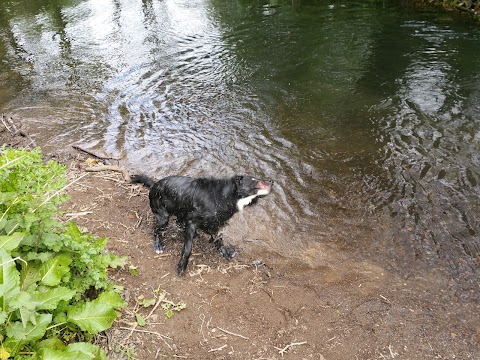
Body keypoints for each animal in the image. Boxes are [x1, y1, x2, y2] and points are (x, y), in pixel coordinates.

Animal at [131, 173, 274, 274]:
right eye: (255, 180)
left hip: (180, 211)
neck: (225, 197)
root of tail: (154, 184)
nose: (272, 180)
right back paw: (158, 245)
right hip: (163, 217)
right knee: (155, 230)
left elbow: (219, 240)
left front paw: (226, 252)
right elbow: (188, 248)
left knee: (178, 222)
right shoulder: (192, 222)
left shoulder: (215, 224)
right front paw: (182, 266)